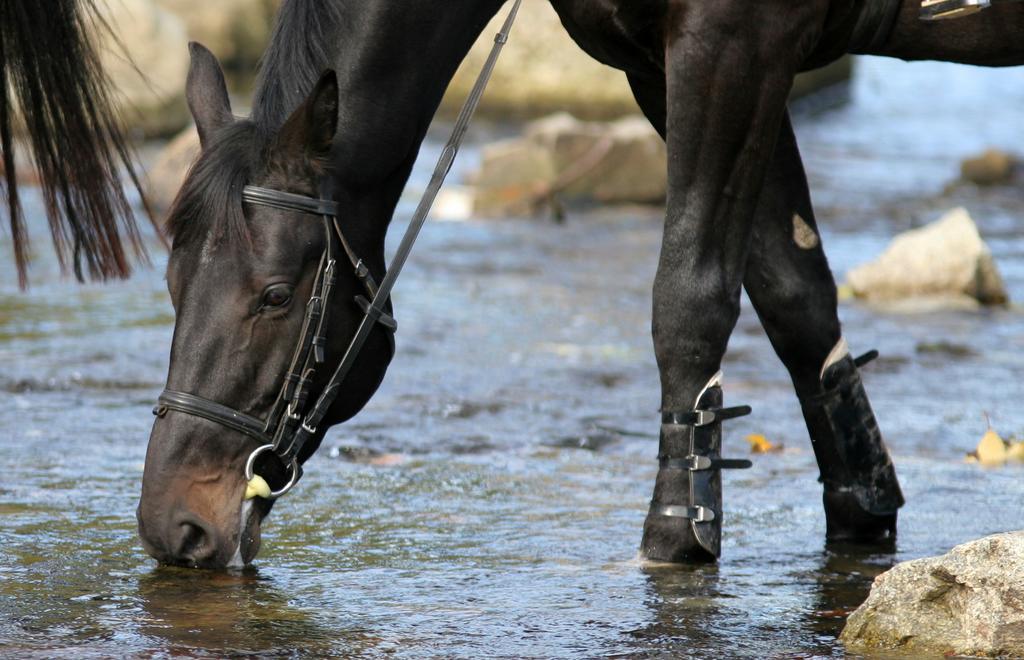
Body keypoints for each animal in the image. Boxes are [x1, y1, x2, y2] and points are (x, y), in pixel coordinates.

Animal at [4, 0, 1019, 568]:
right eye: (173, 286)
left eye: (277, 296)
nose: (172, 526)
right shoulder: (669, 65)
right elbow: (793, 291)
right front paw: (862, 509)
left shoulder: (732, 45)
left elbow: (689, 294)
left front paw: (677, 532)